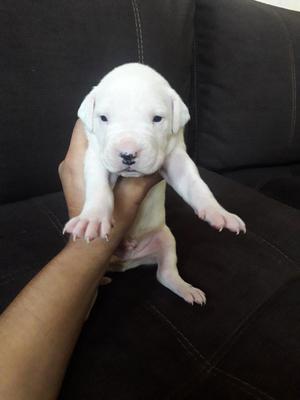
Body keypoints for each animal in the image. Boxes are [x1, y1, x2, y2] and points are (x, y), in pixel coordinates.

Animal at [63, 63, 246, 306]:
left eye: (157, 119)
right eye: (103, 118)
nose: (128, 154)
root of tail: (126, 263)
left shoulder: (177, 156)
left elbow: (196, 184)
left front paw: (218, 212)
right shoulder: (94, 154)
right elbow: (98, 187)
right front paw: (91, 218)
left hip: (165, 238)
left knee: (165, 273)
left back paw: (186, 289)